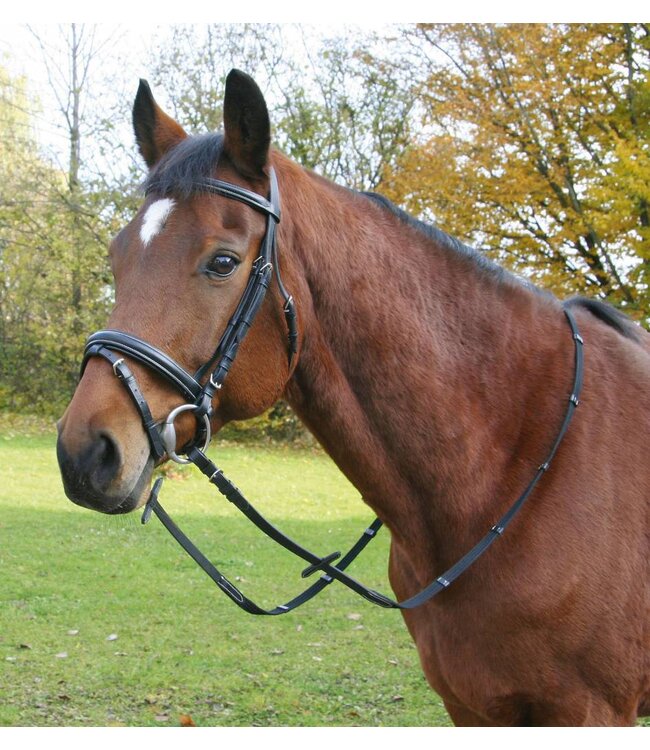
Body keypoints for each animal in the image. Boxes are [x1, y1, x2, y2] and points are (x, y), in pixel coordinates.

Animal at [56, 69, 650, 726]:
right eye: (117, 257)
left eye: (223, 261)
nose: (84, 453)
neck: (508, 471)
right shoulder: (471, 705)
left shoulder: (592, 710)